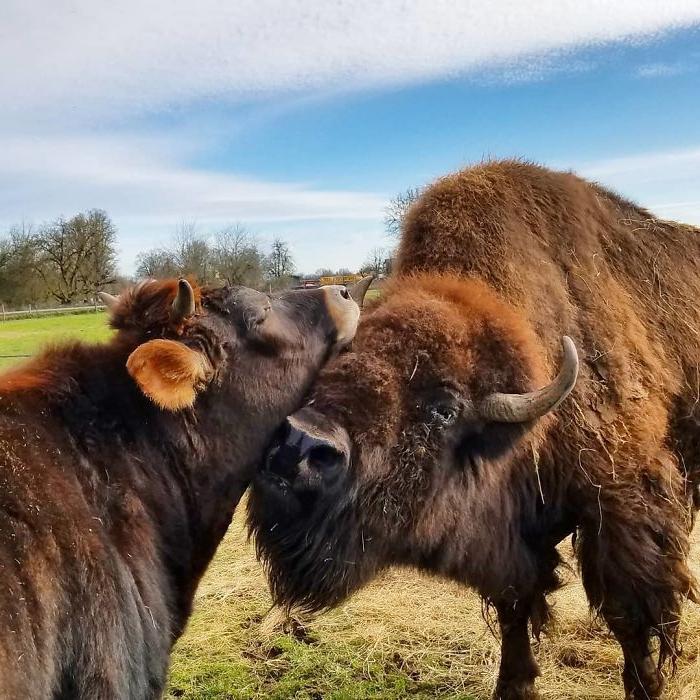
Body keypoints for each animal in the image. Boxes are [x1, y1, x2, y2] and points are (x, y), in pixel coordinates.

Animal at [250, 161, 700, 700]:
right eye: (336, 362)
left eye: (444, 409)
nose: (299, 445)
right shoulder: (513, 532)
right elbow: (514, 606)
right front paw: (515, 684)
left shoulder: (622, 507)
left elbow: (631, 619)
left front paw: (645, 686)